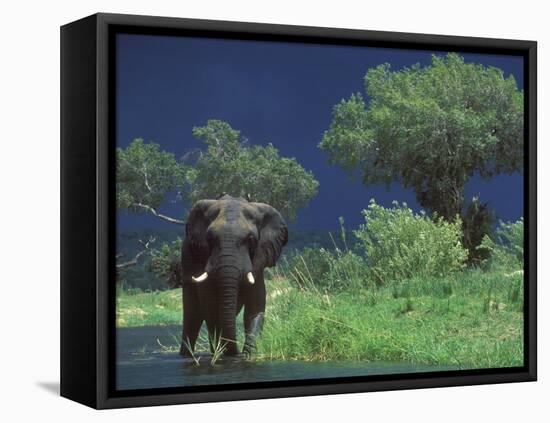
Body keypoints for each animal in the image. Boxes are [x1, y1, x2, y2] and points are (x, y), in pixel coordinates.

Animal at [180, 195, 288, 358]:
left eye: (251, 240)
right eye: (210, 239)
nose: (236, 353)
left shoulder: (258, 262)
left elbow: (254, 309)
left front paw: (247, 354)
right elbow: (210, 307)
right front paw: (224, 352)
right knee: (192, 316)